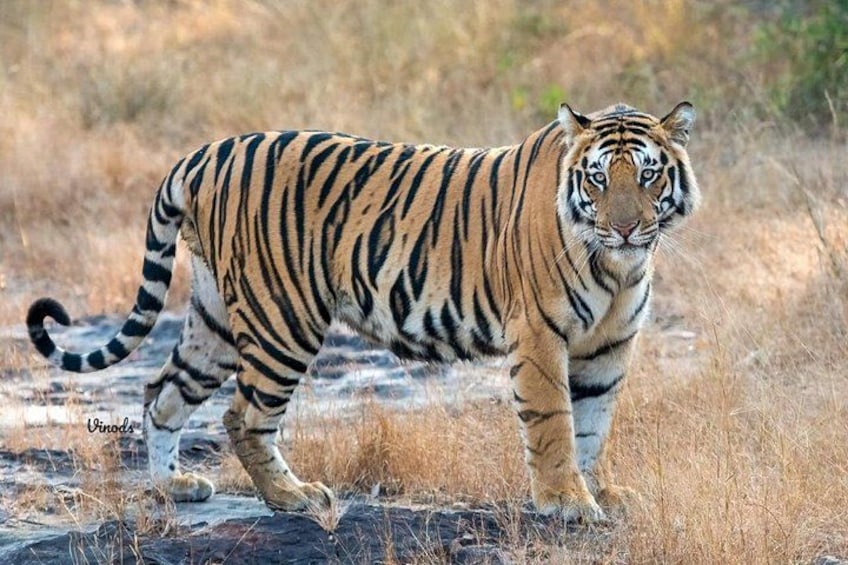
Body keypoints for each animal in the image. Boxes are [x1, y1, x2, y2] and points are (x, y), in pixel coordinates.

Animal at [26, 101, 699, 523]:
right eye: (596, 180)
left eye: (648, 175)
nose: (626, 228)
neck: (618, 267)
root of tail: (204, 152)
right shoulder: (539, 335)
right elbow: (555, 421)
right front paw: (566, 500)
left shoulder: (608, 346)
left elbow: (594, 424)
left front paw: (600, 492)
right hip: (282, 319)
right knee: (244, 415)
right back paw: (292, 497)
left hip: (213, 317)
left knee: (162, 391)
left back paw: (175, 486)